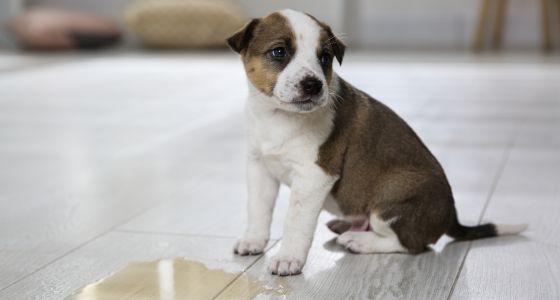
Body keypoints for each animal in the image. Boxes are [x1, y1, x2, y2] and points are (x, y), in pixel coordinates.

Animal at [225, 9, 528, 276]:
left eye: (325, 58)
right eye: (279, 52)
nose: (314, 84)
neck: (277, 117)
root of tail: (451, 216)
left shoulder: (314, 177)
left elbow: (296, 222)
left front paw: (288, 258)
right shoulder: (260, 167)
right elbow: (258, 209)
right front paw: (253, 240)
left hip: (392, 198)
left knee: (412, 244)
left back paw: (359, 241)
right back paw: (347, 227)